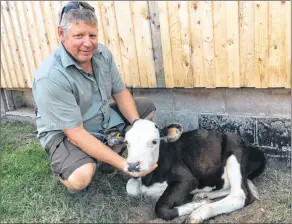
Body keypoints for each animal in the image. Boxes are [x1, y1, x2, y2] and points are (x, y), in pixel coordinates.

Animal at [122, 119, 264, 222]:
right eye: (127, 142)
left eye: (154, 141)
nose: (133, 165)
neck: (149, 179)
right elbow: (130, 187)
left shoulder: (187, 179)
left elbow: (160, 209)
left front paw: (196, 206)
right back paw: (202, 195)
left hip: (234, 150)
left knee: (239, 195)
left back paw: (198, 214)